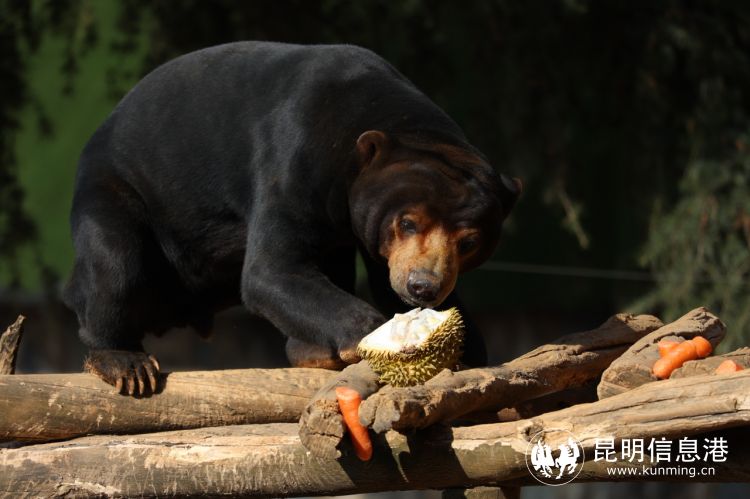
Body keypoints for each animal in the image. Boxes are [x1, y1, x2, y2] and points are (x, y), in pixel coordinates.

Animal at [63, 41, 521, 396]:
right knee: (114, 264)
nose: (423, 287)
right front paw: (377, 337)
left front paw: (466, 344)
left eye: (469, 242)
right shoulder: (294, 159)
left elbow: (379, 277)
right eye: (408, 223)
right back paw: (124, 361)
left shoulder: (366, 229)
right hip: (113, 188)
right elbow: (272, 270)